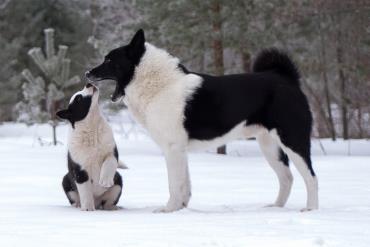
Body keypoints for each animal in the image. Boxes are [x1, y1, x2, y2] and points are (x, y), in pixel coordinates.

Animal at [84, 29, 318, 212]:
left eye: (109, 60)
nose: (87, 73)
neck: (160, 85)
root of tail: (286, 79)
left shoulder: (172, 149)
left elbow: (174, 184)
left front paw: (168, 209)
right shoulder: (180, 150)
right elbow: (185, 185)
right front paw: (181, 208)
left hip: (293, 141)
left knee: (311, 177)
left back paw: (310, 209)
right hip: (269, 146)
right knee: (287, 177)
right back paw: (276, 207)